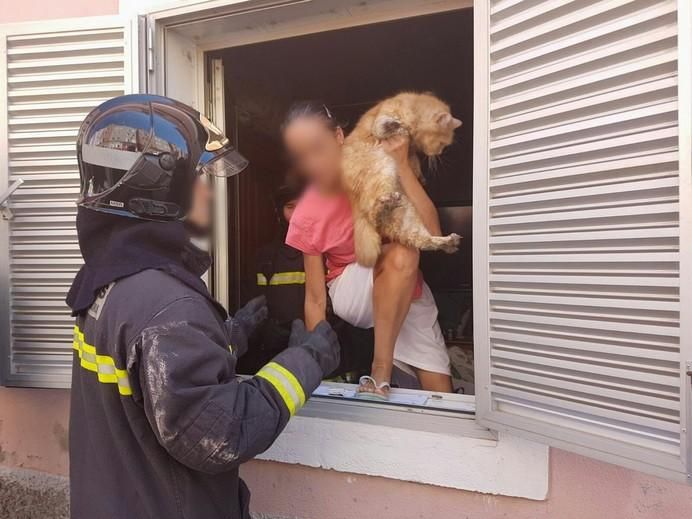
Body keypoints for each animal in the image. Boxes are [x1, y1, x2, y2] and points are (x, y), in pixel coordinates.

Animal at [342, 92, 462, 268]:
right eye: (441, 144)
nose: (439, 153)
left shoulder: (411, 153)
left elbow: (415, 162)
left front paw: (421, 176)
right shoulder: (383, 116)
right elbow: (384, 124)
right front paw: (395, 125)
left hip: (407, 213)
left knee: (422, 240)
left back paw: (448, 242)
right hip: (382, 170)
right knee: (372, 214)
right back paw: (385, 203)